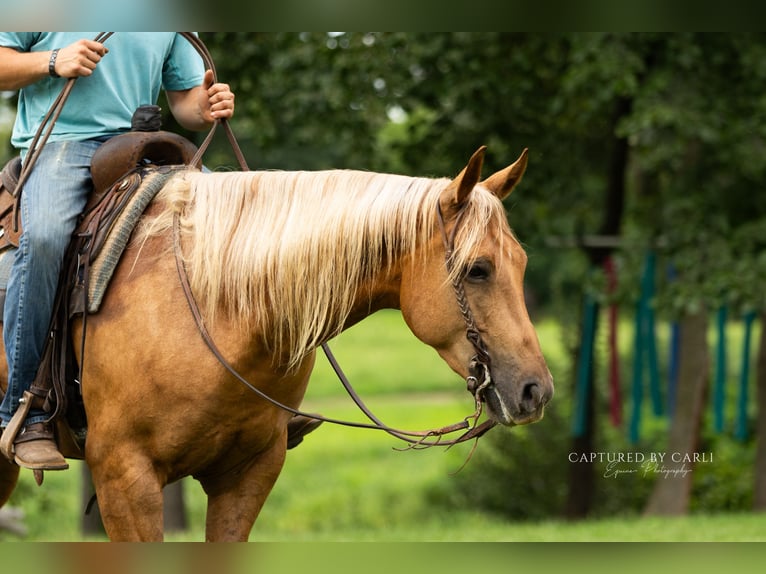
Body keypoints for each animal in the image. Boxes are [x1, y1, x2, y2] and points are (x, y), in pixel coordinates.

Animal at [0, 146, 553, 541]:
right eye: (478, 269)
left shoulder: (247, 474)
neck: (210, 304)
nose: (536, 391)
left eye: (523, 263)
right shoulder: (125, 479)